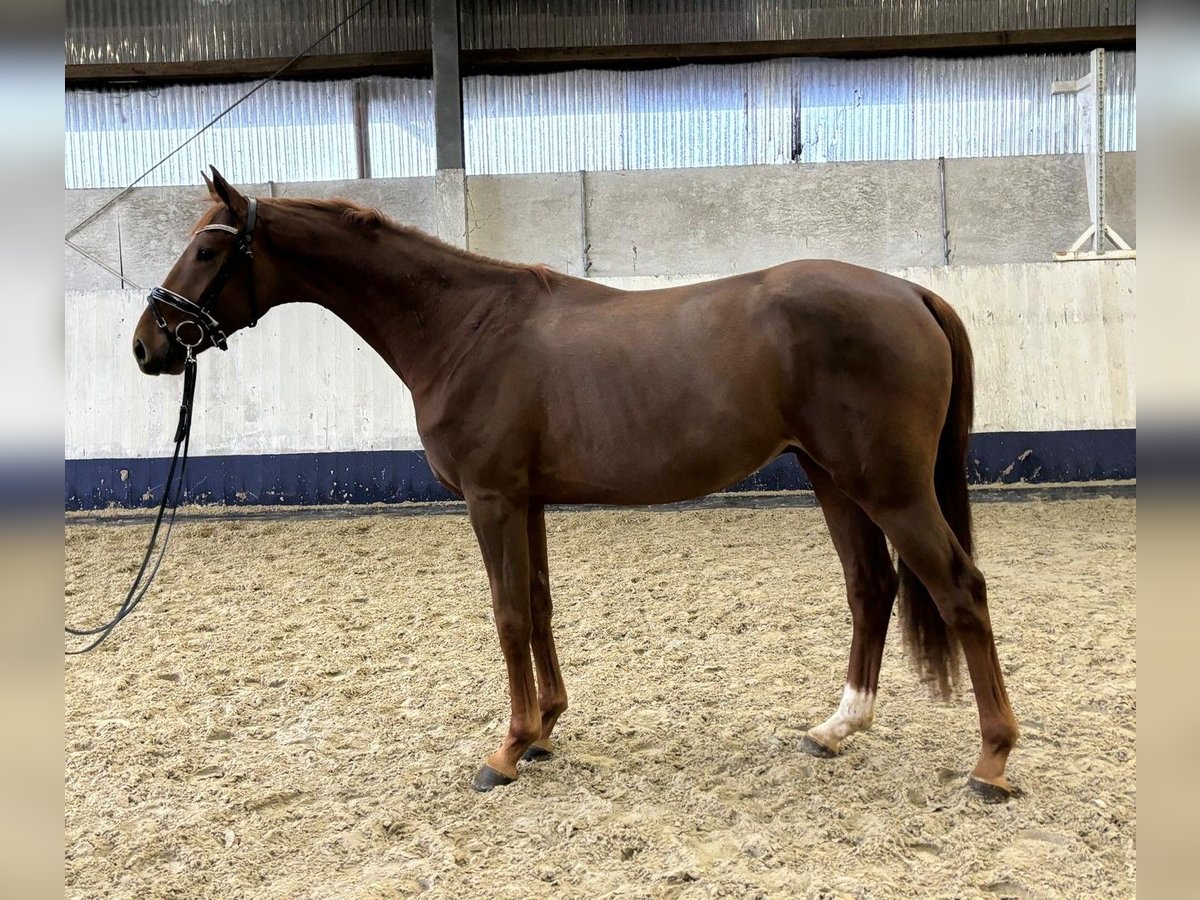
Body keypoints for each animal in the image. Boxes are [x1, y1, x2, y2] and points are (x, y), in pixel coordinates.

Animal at [131, 169, 1017, 801]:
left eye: (206, 251)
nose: (148, 345)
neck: (465, 327)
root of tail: (911, 291)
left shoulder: (491, 499)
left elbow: (507, 614)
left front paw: (507, 749)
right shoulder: (526, 501)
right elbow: (540, 606)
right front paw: (547, 729)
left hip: (890, 487)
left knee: (960, 589)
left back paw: (991, 763)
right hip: (833, 477)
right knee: (871, 586)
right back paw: (838, 727)